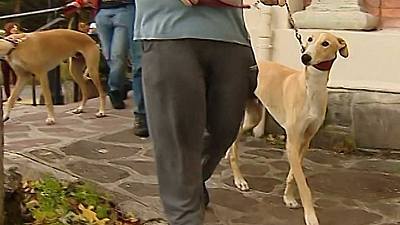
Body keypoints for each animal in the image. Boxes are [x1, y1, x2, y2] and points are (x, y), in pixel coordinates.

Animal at [227, 32, 348, 225]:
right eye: (310, 39)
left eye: (326, 43)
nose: (305, 57)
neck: (310, 88)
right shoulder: (292, 141)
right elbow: (303, 185)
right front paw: (310, 216)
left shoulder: (304, 141)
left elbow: (293, 174)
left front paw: (288, 198)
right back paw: (239, 180)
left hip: (254, 117)